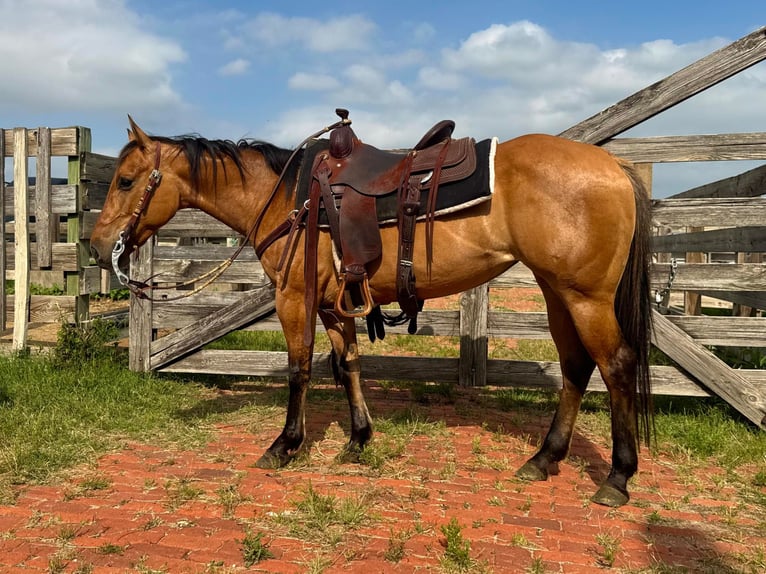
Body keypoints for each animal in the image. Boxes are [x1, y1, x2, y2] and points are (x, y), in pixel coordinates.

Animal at [90, 116, 656, 508]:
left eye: (126, 181)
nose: (97, 247)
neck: (289, 199)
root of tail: (614, 167)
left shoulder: (294, 299)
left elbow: (299, 370)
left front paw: (285, 445)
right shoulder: (335, 305)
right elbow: (349, 367)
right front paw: (359, 439)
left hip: (585, 297)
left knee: (616, 366)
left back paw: (617, 477)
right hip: (557, 291)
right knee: (576, 367)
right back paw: (543, 458)